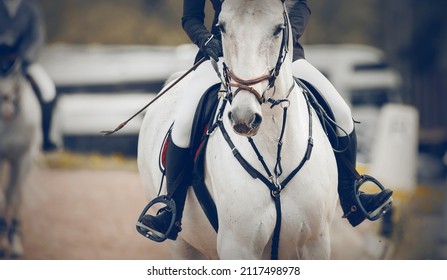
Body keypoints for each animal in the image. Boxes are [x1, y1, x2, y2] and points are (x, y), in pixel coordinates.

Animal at [138, 0, 338, 260]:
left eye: (278, 29)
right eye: (222, 27)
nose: (244, 117)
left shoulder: (316, 243)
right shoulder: (238, 245)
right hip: (184, 245)